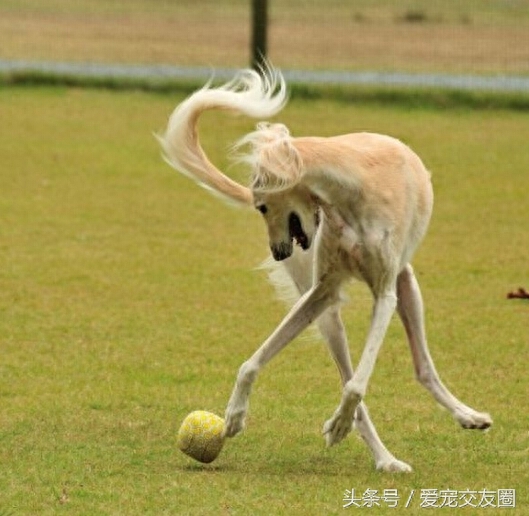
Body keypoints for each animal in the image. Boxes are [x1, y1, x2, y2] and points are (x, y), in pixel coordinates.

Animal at [159, 63, 492, 472]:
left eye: (262, 206)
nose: (278, 253)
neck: (352, 187)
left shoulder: (384, 294)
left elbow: (358, 383)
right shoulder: (322, 292)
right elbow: (253, 362)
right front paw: (235, 415)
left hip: (405, 287)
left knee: (421, 367)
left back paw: (458, 419)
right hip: (328, 313)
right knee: (357, 374)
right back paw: (379, 453)